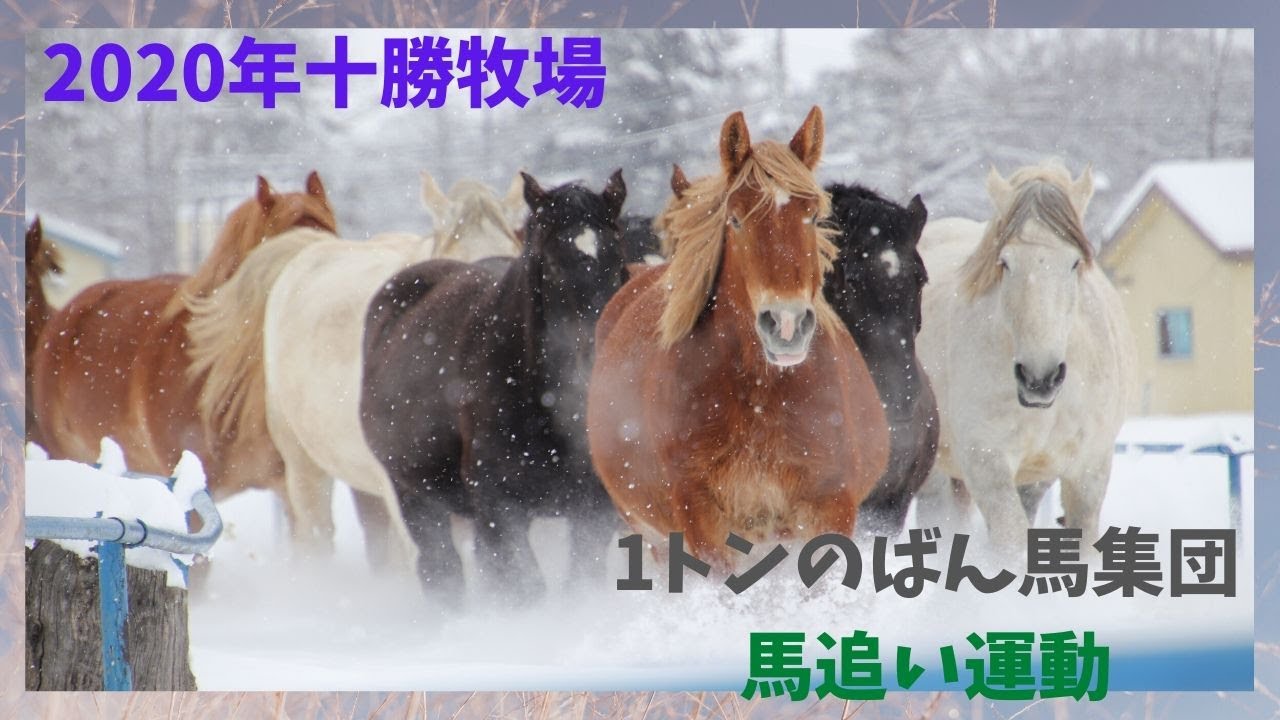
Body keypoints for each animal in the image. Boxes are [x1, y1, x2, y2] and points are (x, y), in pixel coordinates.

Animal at [360, 170, 627, 604]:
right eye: (551, 265)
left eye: (618, 259)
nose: (596, 361)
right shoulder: (500, 510)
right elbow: (527, 588)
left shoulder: (594, 509)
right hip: (415, 497)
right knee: (441, 571)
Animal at [587, 107, 889, 572]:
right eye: (735, 219)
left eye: (813, 216)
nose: (786, 323)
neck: (761, 395)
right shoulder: (701, 520)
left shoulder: (829, 506)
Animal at [913, 161, 1135, 557]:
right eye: (1005, 262)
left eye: (1075, 262)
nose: (1039, 378)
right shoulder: (986, 461)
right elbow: (1011, 543)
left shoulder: (1090, 466)